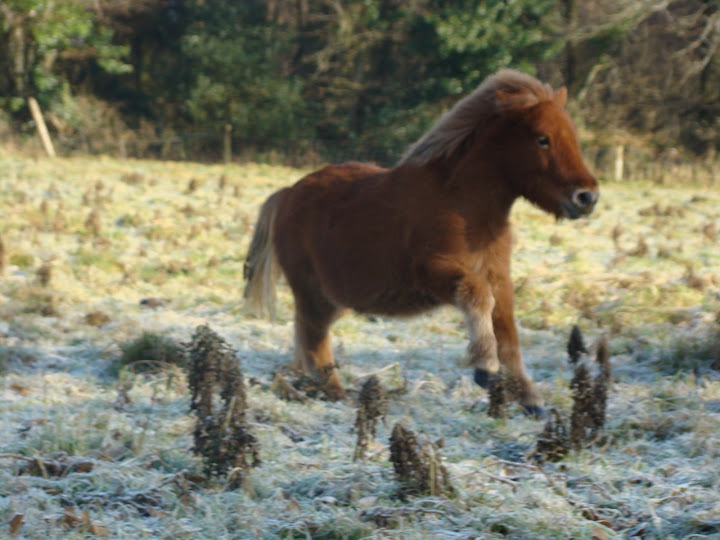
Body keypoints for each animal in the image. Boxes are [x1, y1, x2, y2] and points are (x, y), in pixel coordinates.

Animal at [245, 68, 600, 418]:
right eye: (542, 139)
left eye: (573, 136)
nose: (587, 197)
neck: (463, 207)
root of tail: (287, 193)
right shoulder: (434, 272)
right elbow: (476, 297)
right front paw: (485, 367)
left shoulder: (500, 280)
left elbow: (509, 334)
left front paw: (529, 399)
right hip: (312, 294)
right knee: (313, 338)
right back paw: (333, 393)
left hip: (332, 299)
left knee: (307, 337)